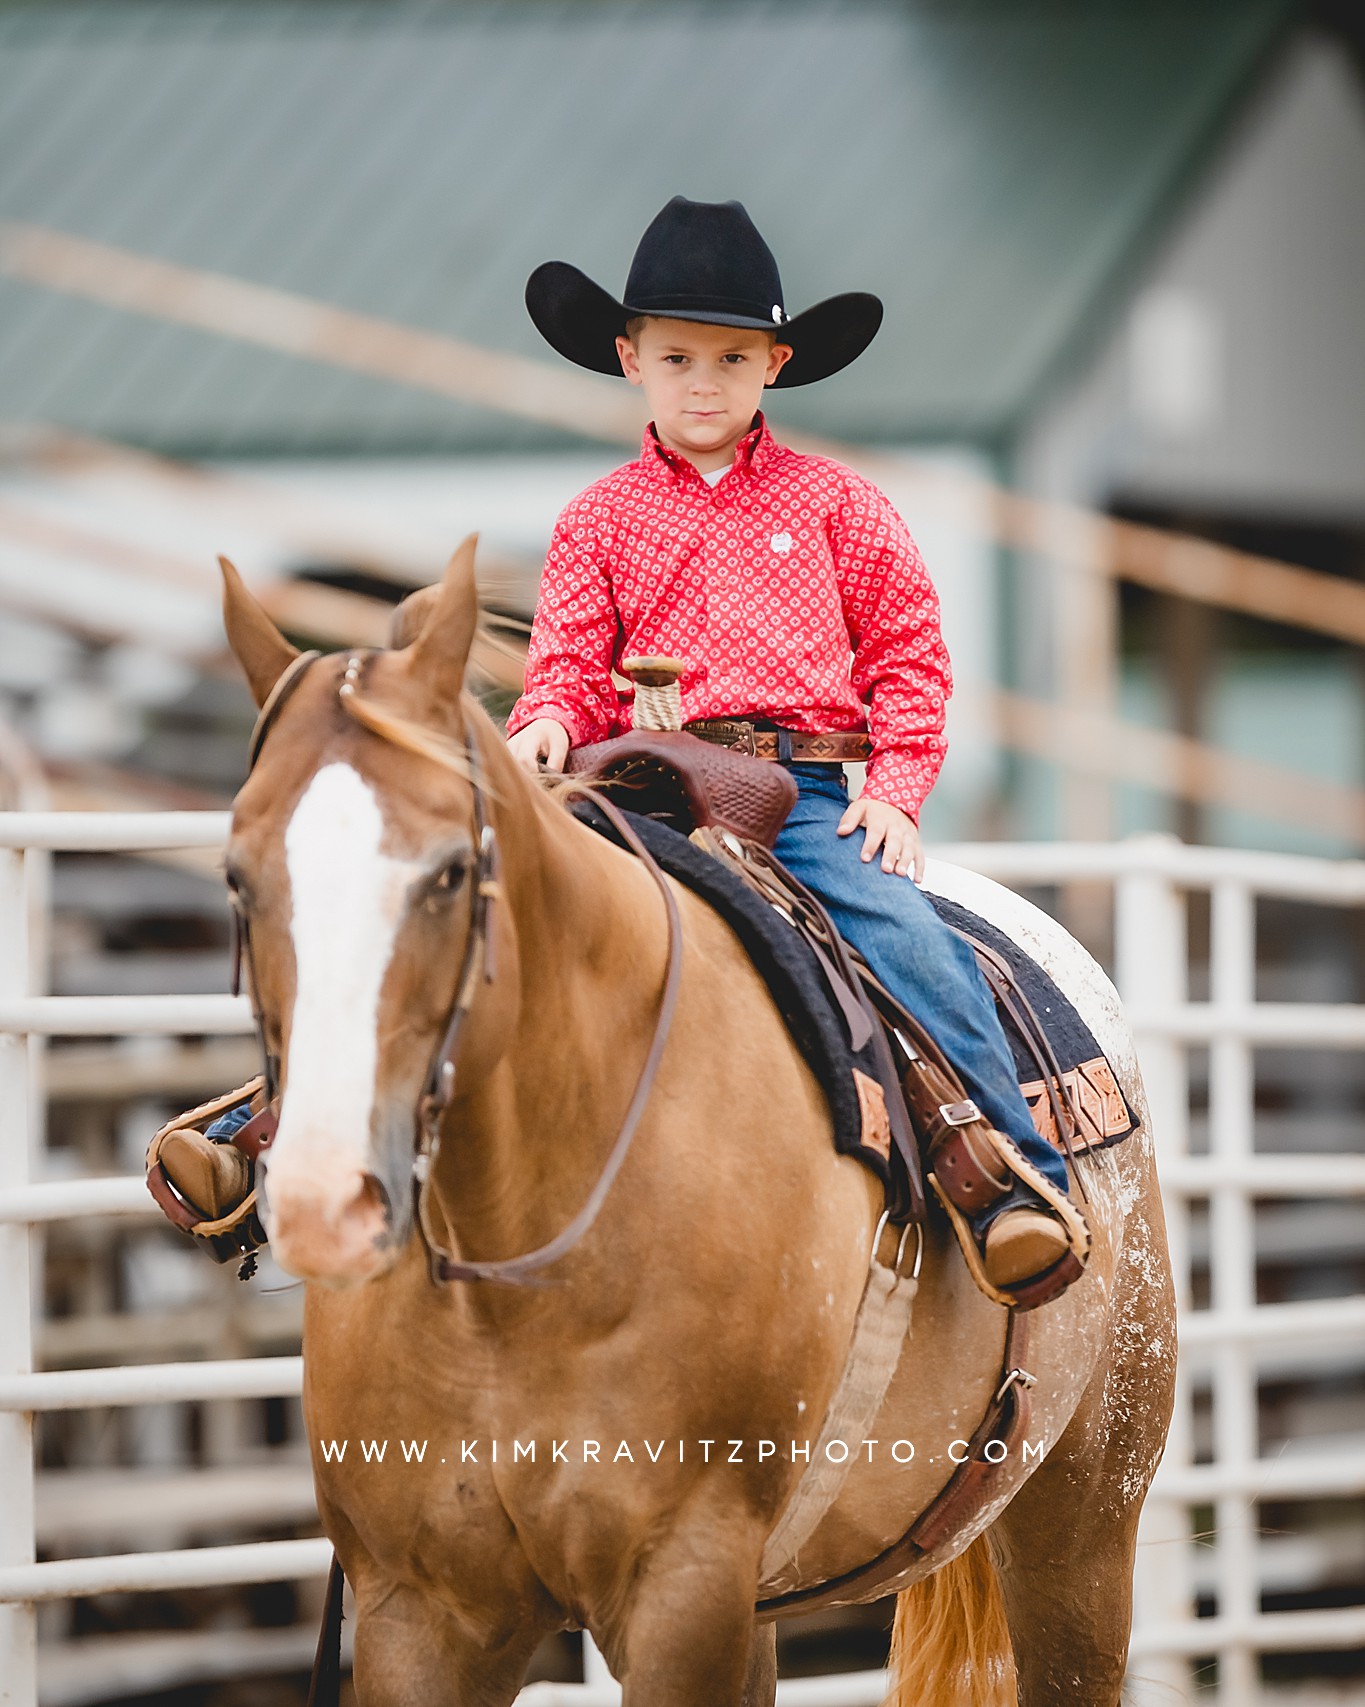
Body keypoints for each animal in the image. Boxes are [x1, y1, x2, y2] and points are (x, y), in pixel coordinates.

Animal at [221, 535, 1173, 1707]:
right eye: (237, 876)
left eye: (449, 871)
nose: (325, 1198)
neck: (518, 1266)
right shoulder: (418, 1612)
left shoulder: (684, 1585)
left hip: (1080, 1528)